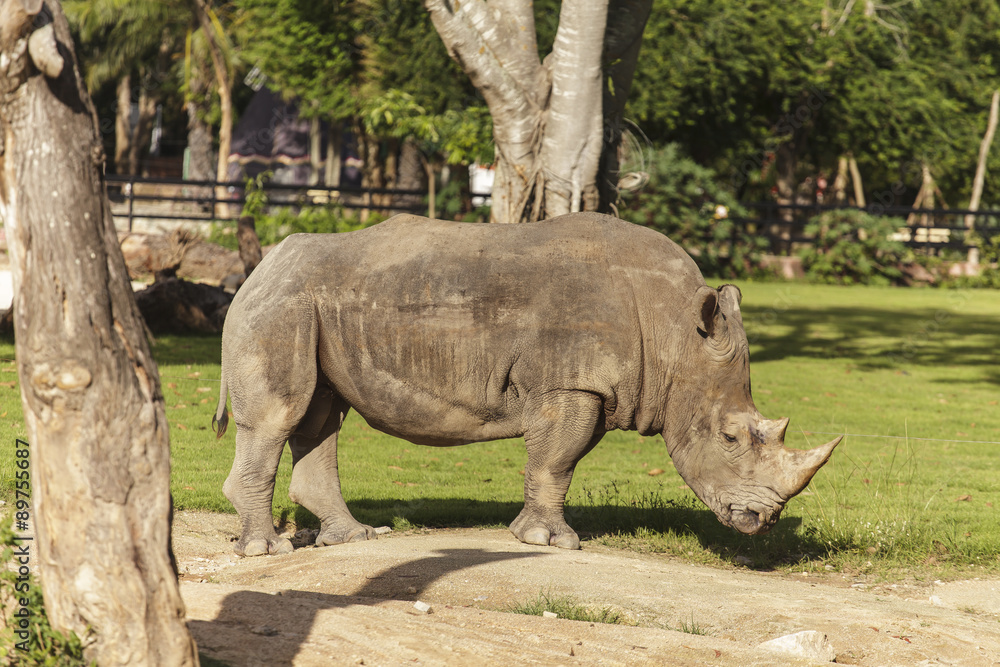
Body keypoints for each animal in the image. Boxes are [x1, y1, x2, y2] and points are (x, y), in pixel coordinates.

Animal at [213, 212, 840, 556]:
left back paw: (355, 538)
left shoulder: (589, 388)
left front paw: (534, 534)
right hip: (287, 303)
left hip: (315, 304)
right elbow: (557, 460)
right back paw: (265, 549)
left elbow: (557, 463)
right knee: (281, 415)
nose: (763, 522)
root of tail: (258, 268)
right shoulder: (573, 383)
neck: (674, 333)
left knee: (320, 415)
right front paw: (551, 543)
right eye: (731, 439)